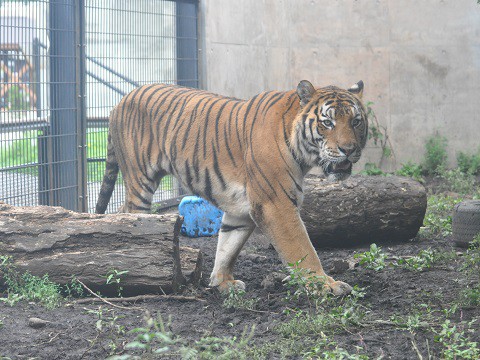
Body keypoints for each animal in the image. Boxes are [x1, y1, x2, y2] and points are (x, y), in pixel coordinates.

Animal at [95, 81, 370, 296]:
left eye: (356, 121)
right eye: (328, 122)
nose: (349, 149)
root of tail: (122, 100)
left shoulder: (241, 209)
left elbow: (228, 246)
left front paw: (221, 283)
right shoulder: (276, 204)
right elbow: (302, 249)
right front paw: (325, 285)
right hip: (140, 180)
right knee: (132, 216)